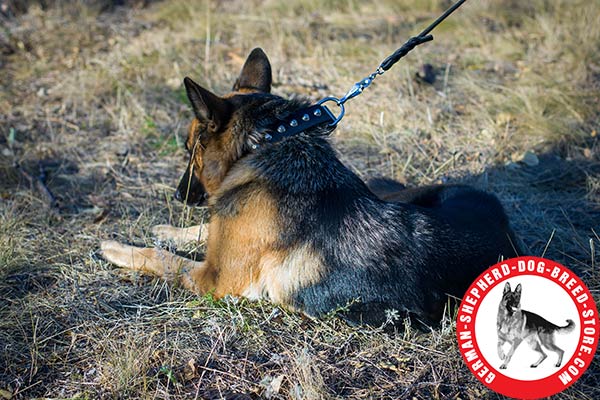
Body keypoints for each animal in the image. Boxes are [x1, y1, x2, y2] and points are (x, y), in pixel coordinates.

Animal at [102, 48, 520, 326]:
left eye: (190, 150)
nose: (177, 196)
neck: (264, 144)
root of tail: (502, 222)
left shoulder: (212, 278)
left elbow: (163, 258)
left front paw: (119, 248)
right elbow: (201, 229)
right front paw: (167, 229)